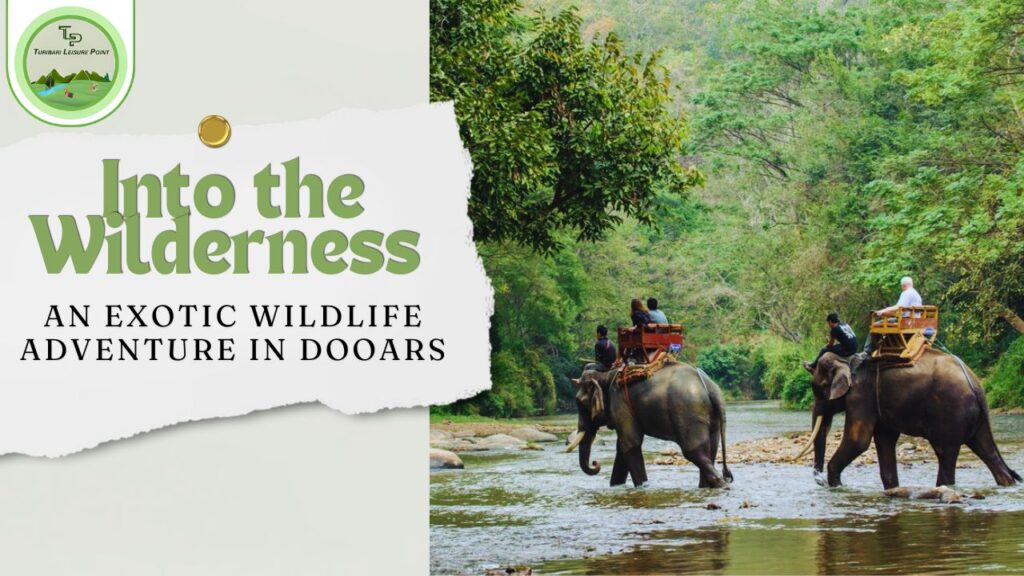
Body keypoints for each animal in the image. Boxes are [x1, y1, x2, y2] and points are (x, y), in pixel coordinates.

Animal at [569, 360, 729, 485]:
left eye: (579, 403)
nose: (595, 463)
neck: (607, 373)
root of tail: (710, 387)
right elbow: (622, 447)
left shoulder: (620, 402)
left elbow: (630, 443)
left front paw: (642, 486)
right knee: (709, 451)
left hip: (689, 413)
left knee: (694, 452)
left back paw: (720, 484)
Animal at [802, 348, 1019, 485]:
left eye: (819, 389)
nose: (819, 480)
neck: (846, 359)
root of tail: (976, 384)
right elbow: (885, 438)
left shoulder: (860, 396)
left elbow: (858, 441)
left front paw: (836, 485)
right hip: (976, 418)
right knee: (985, 449)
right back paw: (1005, 482)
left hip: (951, 411)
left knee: (945, 452)